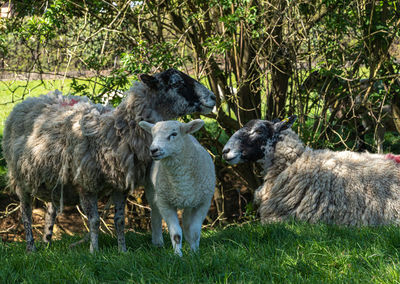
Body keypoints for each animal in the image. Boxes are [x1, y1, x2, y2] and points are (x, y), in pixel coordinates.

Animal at [138, 118, 216, 256]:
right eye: (153, 135)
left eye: (174, 134)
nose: (153, 150)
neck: (181, 181)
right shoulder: (165, 203)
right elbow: (176, 234)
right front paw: (178, 255)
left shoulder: (203, 203)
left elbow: (195, 231)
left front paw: (194, 253)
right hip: (153, 192)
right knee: (155, 215)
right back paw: (158, 242)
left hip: (191, 201)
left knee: (186, 222)